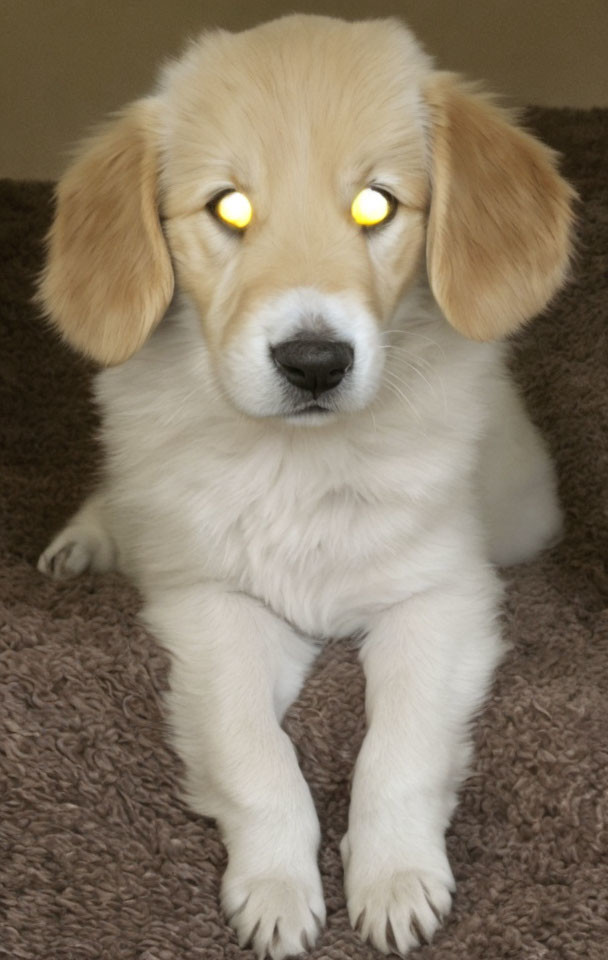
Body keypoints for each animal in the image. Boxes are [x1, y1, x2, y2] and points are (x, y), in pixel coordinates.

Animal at [38, 15, 576, 960]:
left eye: (375, 205)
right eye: (229, 208)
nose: (315, 362)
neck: (302, 462)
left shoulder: (442, 597)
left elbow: (399, 750)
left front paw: (396, 877)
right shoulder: (215, 608)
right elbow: (255, 755)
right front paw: (277, 886)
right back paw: (86, 541)